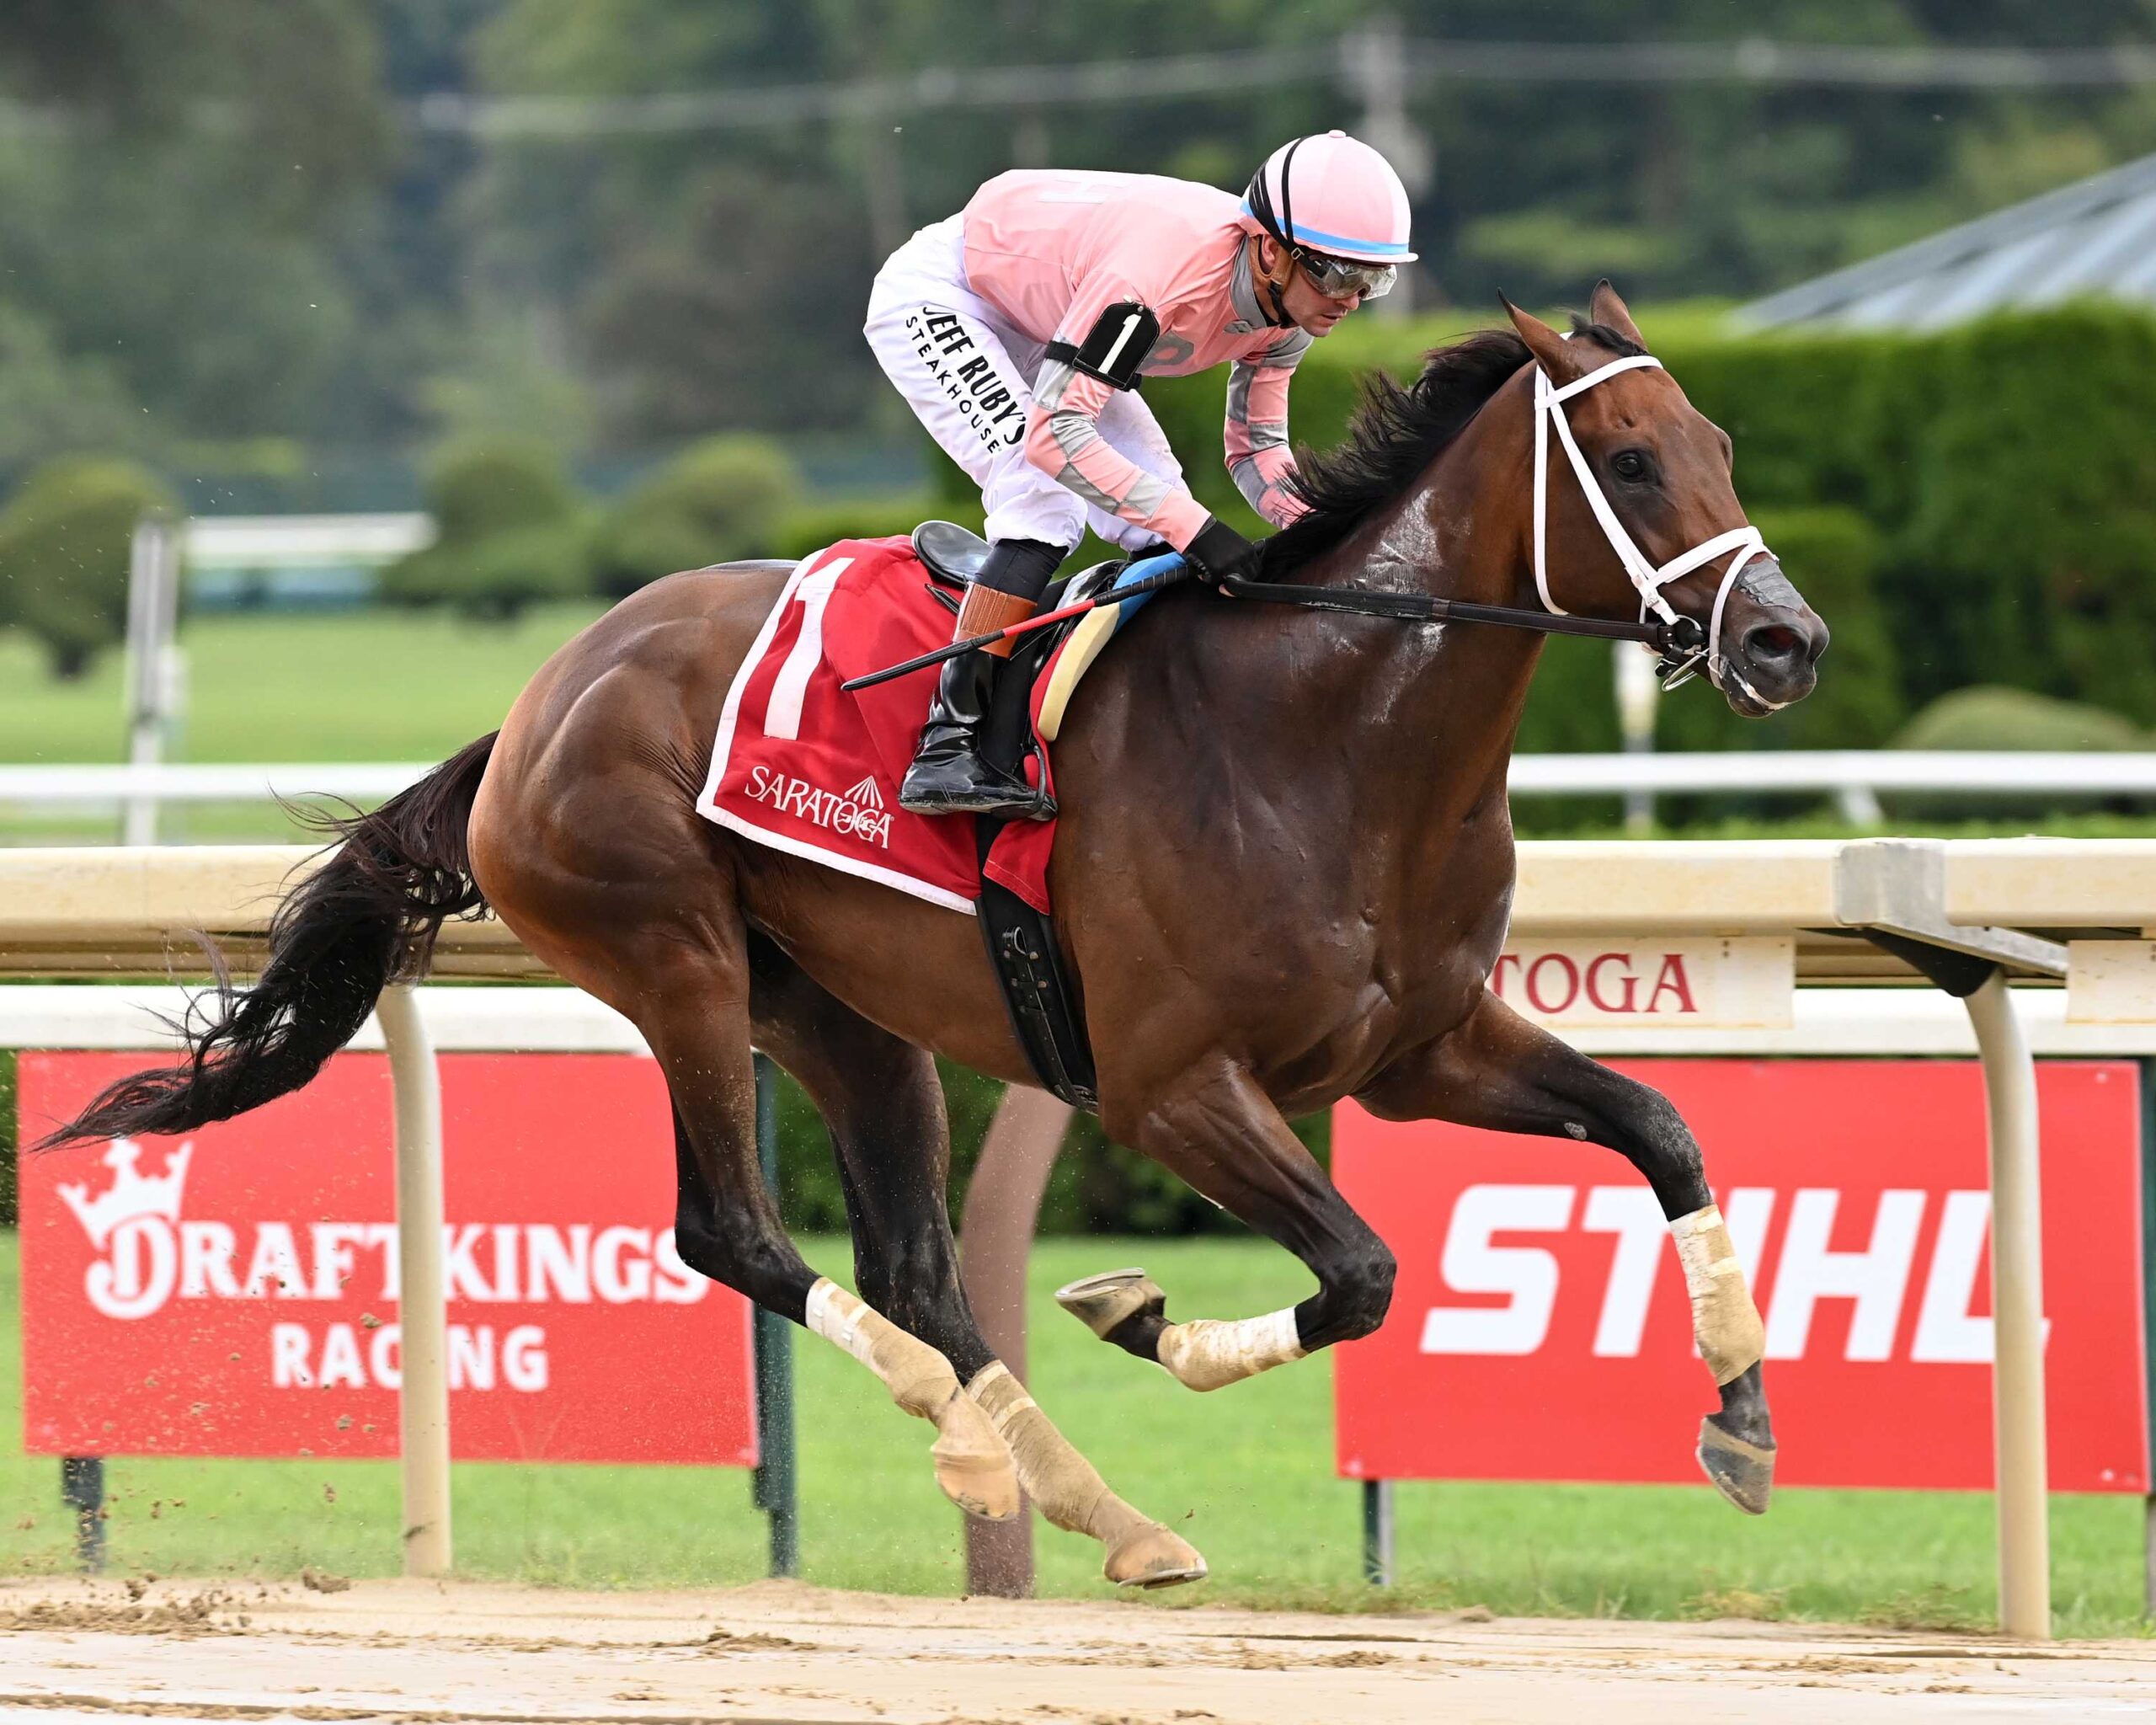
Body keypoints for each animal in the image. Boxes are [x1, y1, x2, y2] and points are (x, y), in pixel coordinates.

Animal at [46, 284, 1828, 1589]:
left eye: (1725, 437)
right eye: (1636, 462)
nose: (1788, 641)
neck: (1329, 736)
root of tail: (538, 699)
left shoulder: (1424, 1047)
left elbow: (1661, 1127)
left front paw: (1744, 1420)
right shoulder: (1171, 1085)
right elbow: (1368, 1268)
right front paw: (1151, 1315)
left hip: (848, 1015)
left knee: (911, 1257)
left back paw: (1098, 1507)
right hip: (677, 960)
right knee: (737, 1229)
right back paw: (968, 1433)